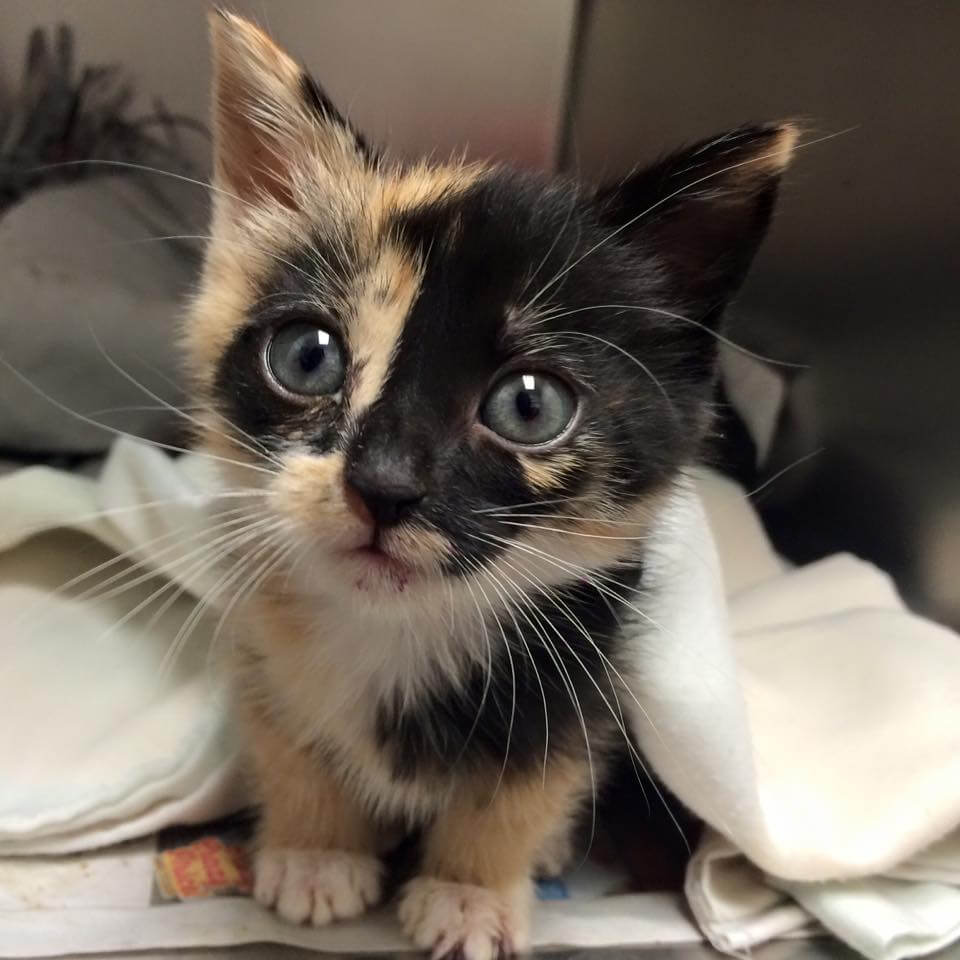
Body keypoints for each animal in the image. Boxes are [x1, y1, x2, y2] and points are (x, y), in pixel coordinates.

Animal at [186, 11, 796, 956]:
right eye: (307, 356)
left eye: (529, 405)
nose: (385, 485)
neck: (398, 630)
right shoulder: (259, 632)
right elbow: (286, 732)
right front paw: (316, 853)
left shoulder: (587, 663)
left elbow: (529, 780)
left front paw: (472, 891)